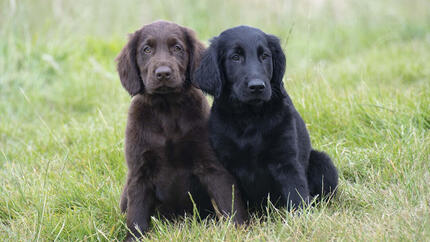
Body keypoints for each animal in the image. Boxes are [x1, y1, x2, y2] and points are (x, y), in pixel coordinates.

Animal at [116, 20, 245, 240]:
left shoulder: (212, 165)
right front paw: (134, 238)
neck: (166, 109)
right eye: (146, 49)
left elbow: (228, 201)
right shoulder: (139, 172)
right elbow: (137, 216)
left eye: (177, 48)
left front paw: (239, 230)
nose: (163, 73)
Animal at [193, 25, 338, 212]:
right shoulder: (226, 164)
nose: (257, 86)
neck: (250, 117)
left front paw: (302, 217)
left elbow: (296, 194)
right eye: (235, 57)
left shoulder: (286, 161)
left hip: (323, 162)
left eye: (265, 56)